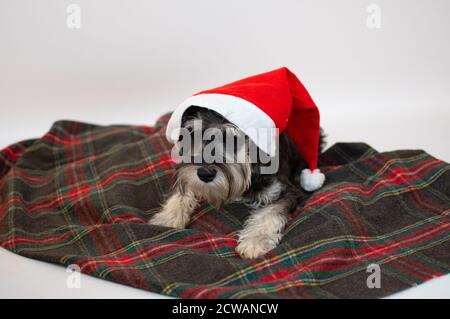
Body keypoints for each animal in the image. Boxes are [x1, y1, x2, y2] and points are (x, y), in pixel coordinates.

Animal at [149, 106, 326, 262]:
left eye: (233, 139)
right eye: (192, 133)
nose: (204, 174)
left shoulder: (285, 191)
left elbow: (271, 212)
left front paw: (255, 242)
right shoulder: (186, 177)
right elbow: (183, 191)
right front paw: (167, 218)